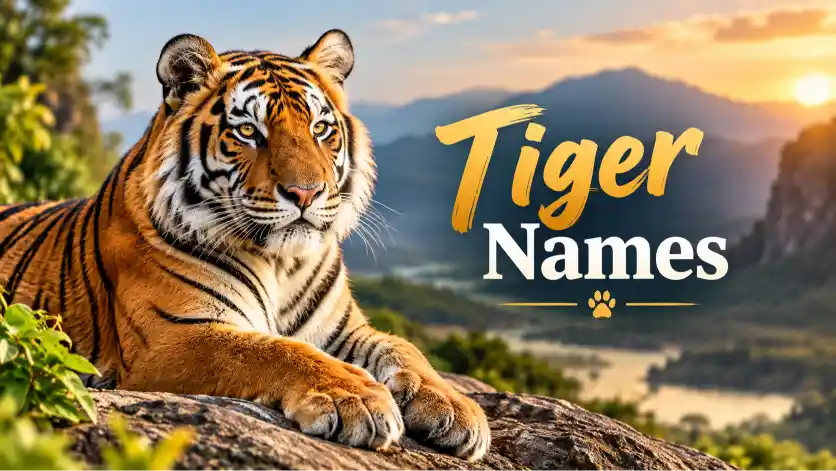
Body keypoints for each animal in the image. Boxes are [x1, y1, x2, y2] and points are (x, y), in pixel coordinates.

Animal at [0, 30, 490, 460]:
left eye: (320, 128)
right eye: (249, 132)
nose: (307, 193)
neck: (283, 263)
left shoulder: (345, 329)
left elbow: (404, 347)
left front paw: (456, 409)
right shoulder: (174, 335)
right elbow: (272, 351)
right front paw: (356, 397)